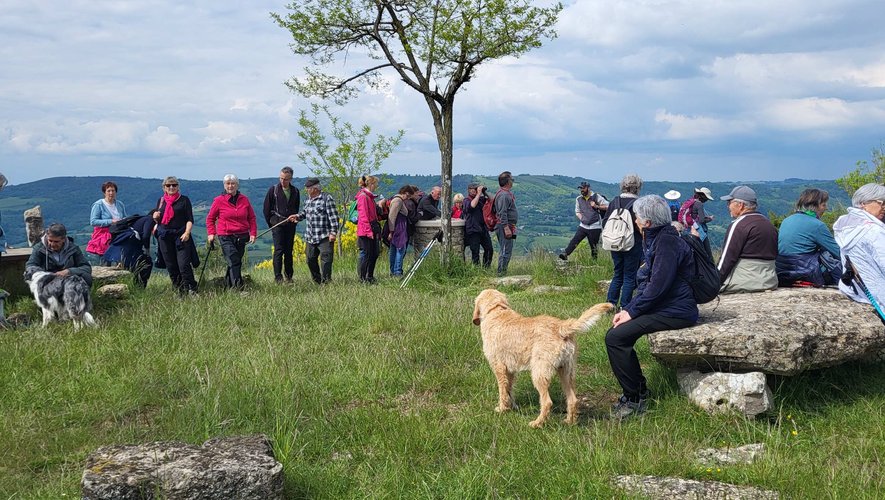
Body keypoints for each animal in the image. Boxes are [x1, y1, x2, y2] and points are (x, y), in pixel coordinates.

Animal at [472, 289, 613, 427]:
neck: (496, 311)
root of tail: (561, 327)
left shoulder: (499, 368)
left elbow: (502, 391)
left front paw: (502, 409)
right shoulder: (510, 371)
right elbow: (509, 390)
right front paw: (511, 407)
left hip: (539, 373)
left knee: (547, 402)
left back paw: (537, 423)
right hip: (566, 372)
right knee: (573, 399)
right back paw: (569, 422)